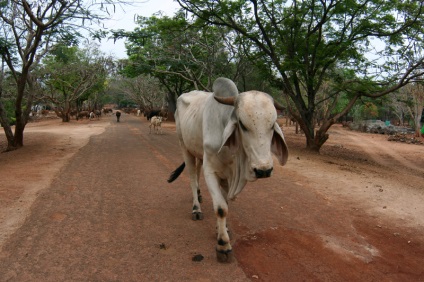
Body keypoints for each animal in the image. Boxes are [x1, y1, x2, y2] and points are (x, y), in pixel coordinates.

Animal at [168, 77, 288, 262]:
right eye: (243, 125)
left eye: (272, 125)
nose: (264, 170)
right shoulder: (211, 171)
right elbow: (221, 208)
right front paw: (223, 245)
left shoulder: (228, 176)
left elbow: (225, 202)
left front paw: (222, 229)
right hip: (184, 147)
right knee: (192, 177)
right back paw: (196, 208)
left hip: (198, 152)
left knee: (197, 171)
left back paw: (200, 195)